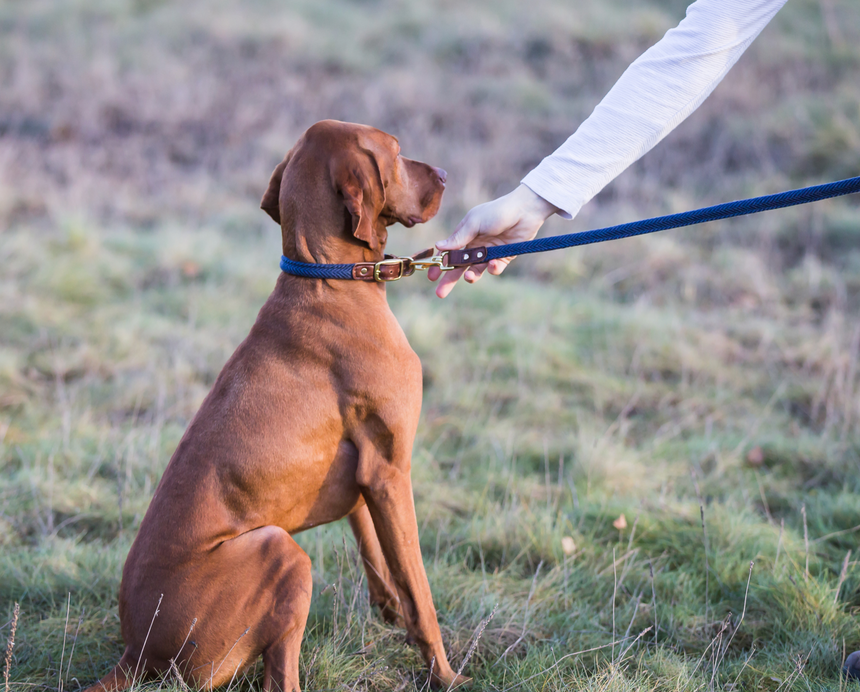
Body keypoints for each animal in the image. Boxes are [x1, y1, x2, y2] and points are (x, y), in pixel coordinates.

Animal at [84, 121, 466, 692]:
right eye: (396, 151)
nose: (444, 173)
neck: (327, 277)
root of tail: (137, 651)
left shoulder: (366, 478)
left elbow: (377, 556)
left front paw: (388, 609)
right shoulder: (391, 472)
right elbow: (419, 592)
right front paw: (444, 674)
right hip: (280, 550)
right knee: (279, 675)